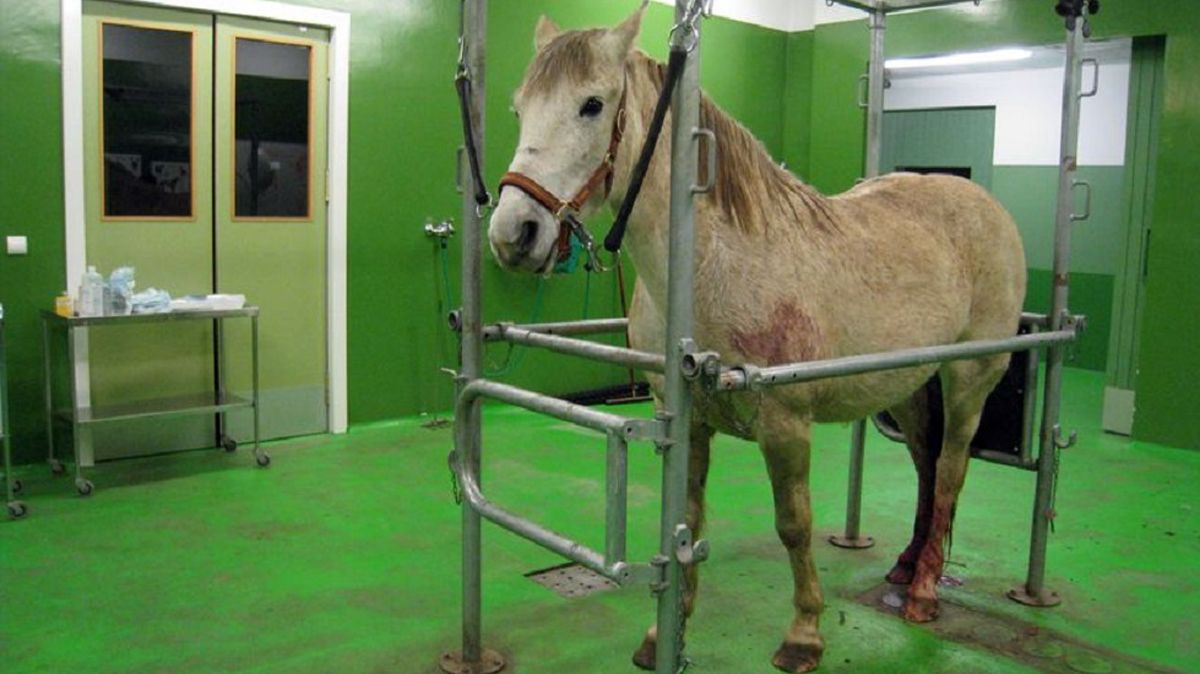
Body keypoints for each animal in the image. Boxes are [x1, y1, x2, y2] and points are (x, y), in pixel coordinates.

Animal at [482, 6, 1027, 671]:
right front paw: (665, 634)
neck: (715, 265)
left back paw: (924, 591)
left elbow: (794, 524)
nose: (513, 233)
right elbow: (686, 519)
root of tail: (984, 204)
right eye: (519, 109)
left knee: (950, 470)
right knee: (926, 465)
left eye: (592, 104)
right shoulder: (685, 418)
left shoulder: (785, 424)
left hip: (968, 379)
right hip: (909, 387)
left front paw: (804, 633)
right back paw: (904, 568)